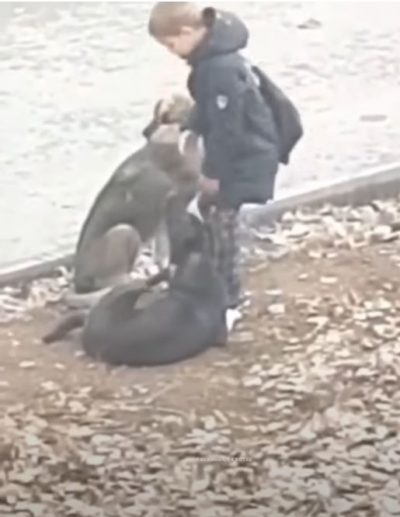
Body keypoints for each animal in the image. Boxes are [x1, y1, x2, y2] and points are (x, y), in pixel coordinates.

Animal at [43, 212, 228, 364]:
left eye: (184, 220)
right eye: (190, 220)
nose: (189, 212)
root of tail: (89, 329)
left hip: (122, 291)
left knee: (140, 284)